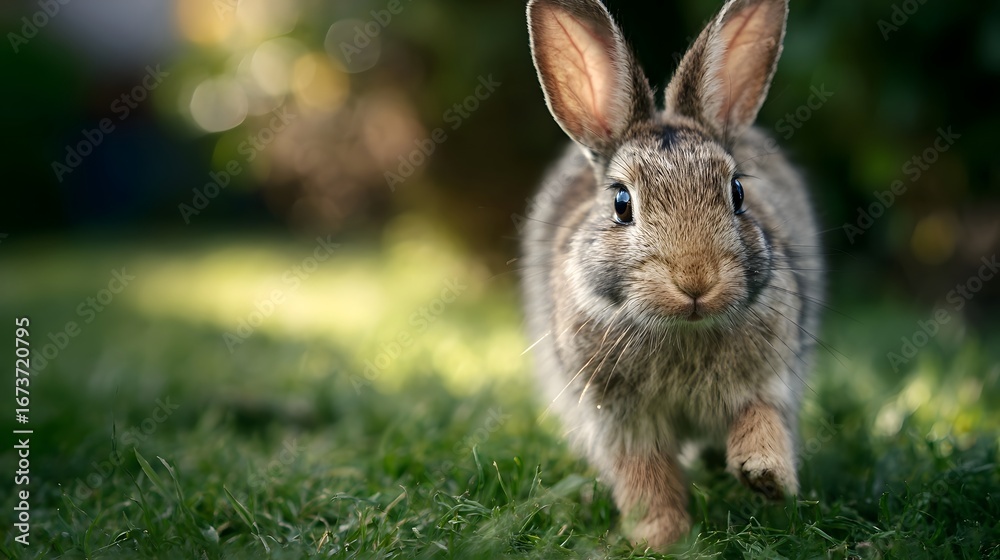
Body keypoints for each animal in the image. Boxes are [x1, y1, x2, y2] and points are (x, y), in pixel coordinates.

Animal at [520, 0, 824, 549]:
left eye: (738, 192)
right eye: (622, 204)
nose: (695, 280)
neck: (683, 328)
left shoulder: (771, 377)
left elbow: (762, 417)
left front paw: (765, 476)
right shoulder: (620, 418)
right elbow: (645, 473)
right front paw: (661, 537)